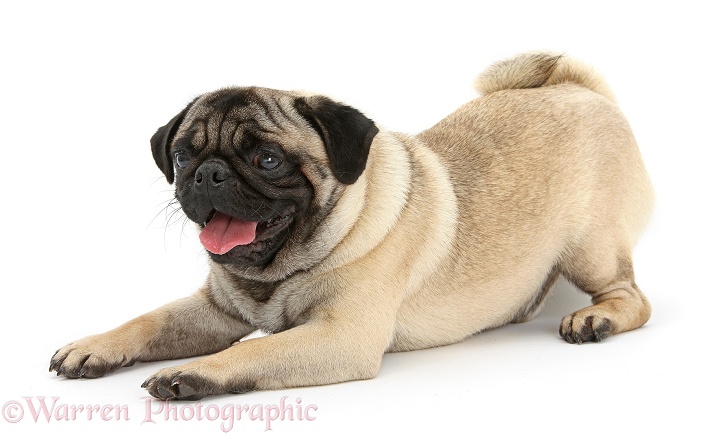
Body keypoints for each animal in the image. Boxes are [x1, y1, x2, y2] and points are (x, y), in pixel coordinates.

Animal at [49, 52, 656, 400]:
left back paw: (596, 319)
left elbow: (252, 353)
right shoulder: (214, 310)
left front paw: (197, 372)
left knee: (633, 296)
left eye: (268, 159)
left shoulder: (341, 336)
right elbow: (147, 321)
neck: (275, 271)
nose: (209, 173)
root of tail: (580, 88)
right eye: (181, 157)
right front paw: (94, 346)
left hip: (590, 248)